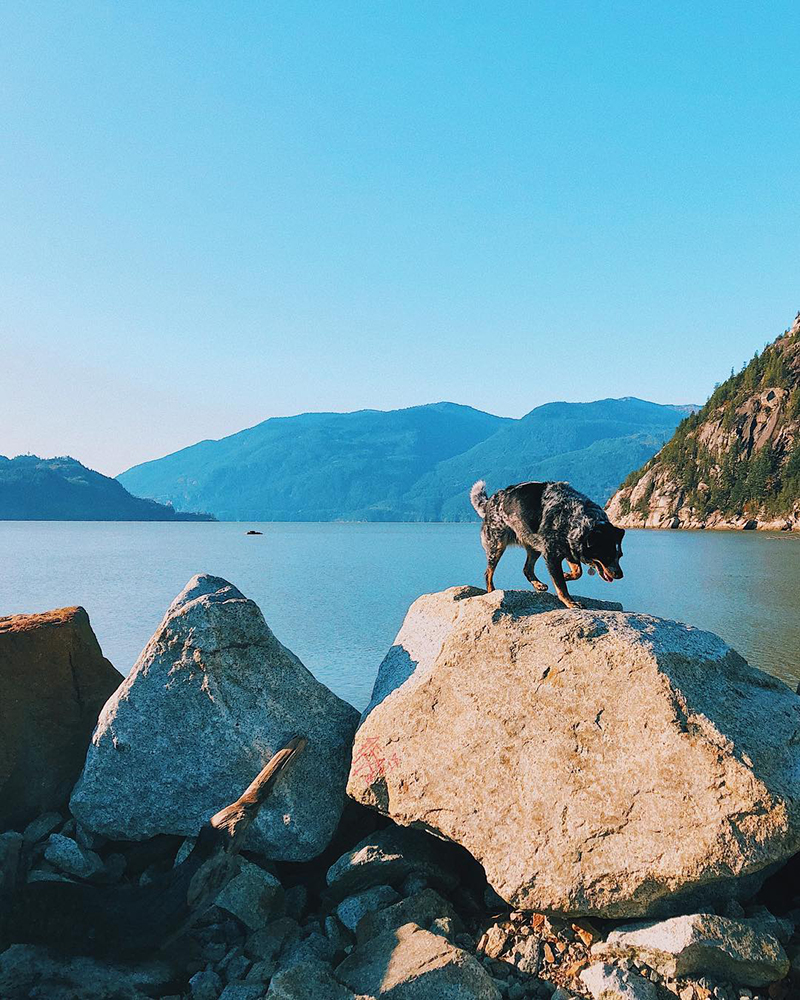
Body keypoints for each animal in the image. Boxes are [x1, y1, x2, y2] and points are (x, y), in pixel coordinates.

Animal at [468, 478, 624, 608]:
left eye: (620, 556)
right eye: (607, 555)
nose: (620, 575)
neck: (573, 518)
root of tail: (490, 501)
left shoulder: (569, 549)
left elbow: (577, 572)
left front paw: (566, 575)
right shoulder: (552, 556)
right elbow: (561, 586)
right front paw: (570, 602)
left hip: (534, 545)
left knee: (527, 569)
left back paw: (538, 585)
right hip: (497, 544)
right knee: (488, 572)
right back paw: (491, 591)